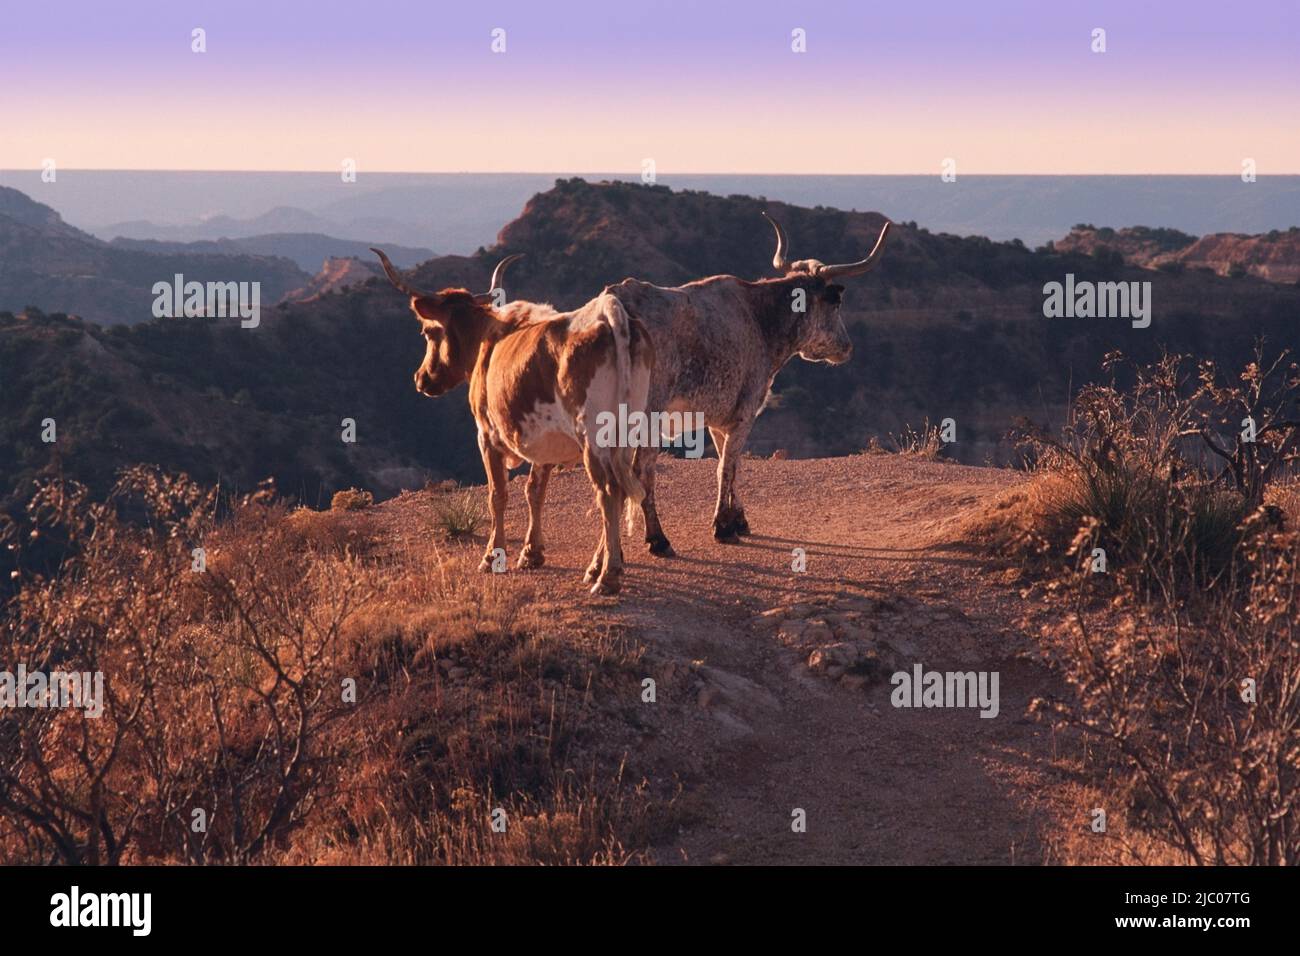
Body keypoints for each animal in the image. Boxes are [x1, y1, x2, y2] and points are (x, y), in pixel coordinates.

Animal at [371, 249, 654, 595]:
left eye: (428, 332)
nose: (421, 378)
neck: (488, 338)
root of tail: (609, 313)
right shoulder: (543, 442)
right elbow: (535, 491)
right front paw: (531, 553)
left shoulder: (486, 436)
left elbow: (498, 494)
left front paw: (492, 556)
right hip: (625, 434)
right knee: (618, 490)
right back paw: (597, 567)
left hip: (593, 438)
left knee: (608, 491)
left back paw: (607, 575)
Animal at [607, 212, 891, 553]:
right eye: (835, 305)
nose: (847, 347)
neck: (760, 318)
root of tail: (618, 301)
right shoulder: (745, 412)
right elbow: (726, 467)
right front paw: (723, 526)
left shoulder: (718, 419)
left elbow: (731, 464)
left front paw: (738, 519)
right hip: (649, 415)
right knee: (641, 469)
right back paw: (658, 539)